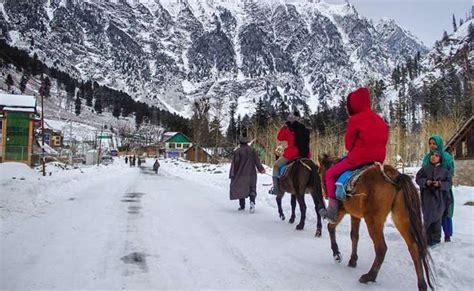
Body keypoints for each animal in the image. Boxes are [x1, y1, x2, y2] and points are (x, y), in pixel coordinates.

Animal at [318, 156, 434, 291]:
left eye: (320, 171)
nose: (325, 195)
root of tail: (395, 177)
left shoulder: (341, 211)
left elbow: (331, 227)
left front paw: (336, 253)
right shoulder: (355, 215)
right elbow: (354, 236)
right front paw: (353, 260)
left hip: (373, 220)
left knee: (381, 248)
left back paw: (370, 276)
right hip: (401, 218)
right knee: (413, 247)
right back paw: (422, 284)